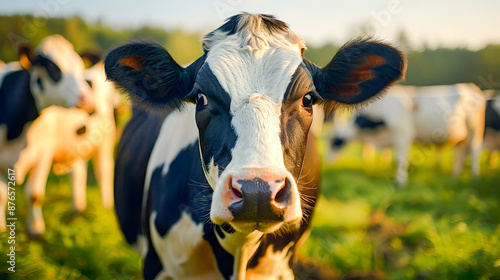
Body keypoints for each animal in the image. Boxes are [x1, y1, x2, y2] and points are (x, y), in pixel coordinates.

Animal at [0, 34, 94, 232]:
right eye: (53, 68)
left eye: (80, 68)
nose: (87, 99)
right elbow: (2, 195)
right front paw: (2, 229)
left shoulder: (43, 154)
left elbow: (34, 194)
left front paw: (35, 229)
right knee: (78, 172)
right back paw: (77, 209)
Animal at [330, 84, 486, 187]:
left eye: (335, 141)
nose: (327, 160)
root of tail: (471, 87)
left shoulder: (403, 133)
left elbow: (401, 159)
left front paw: (400, 182)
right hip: (462, 137)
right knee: (461, 153)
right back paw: (454, 175)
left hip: (474, 129)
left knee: (475, 151)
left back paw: (475, 177)